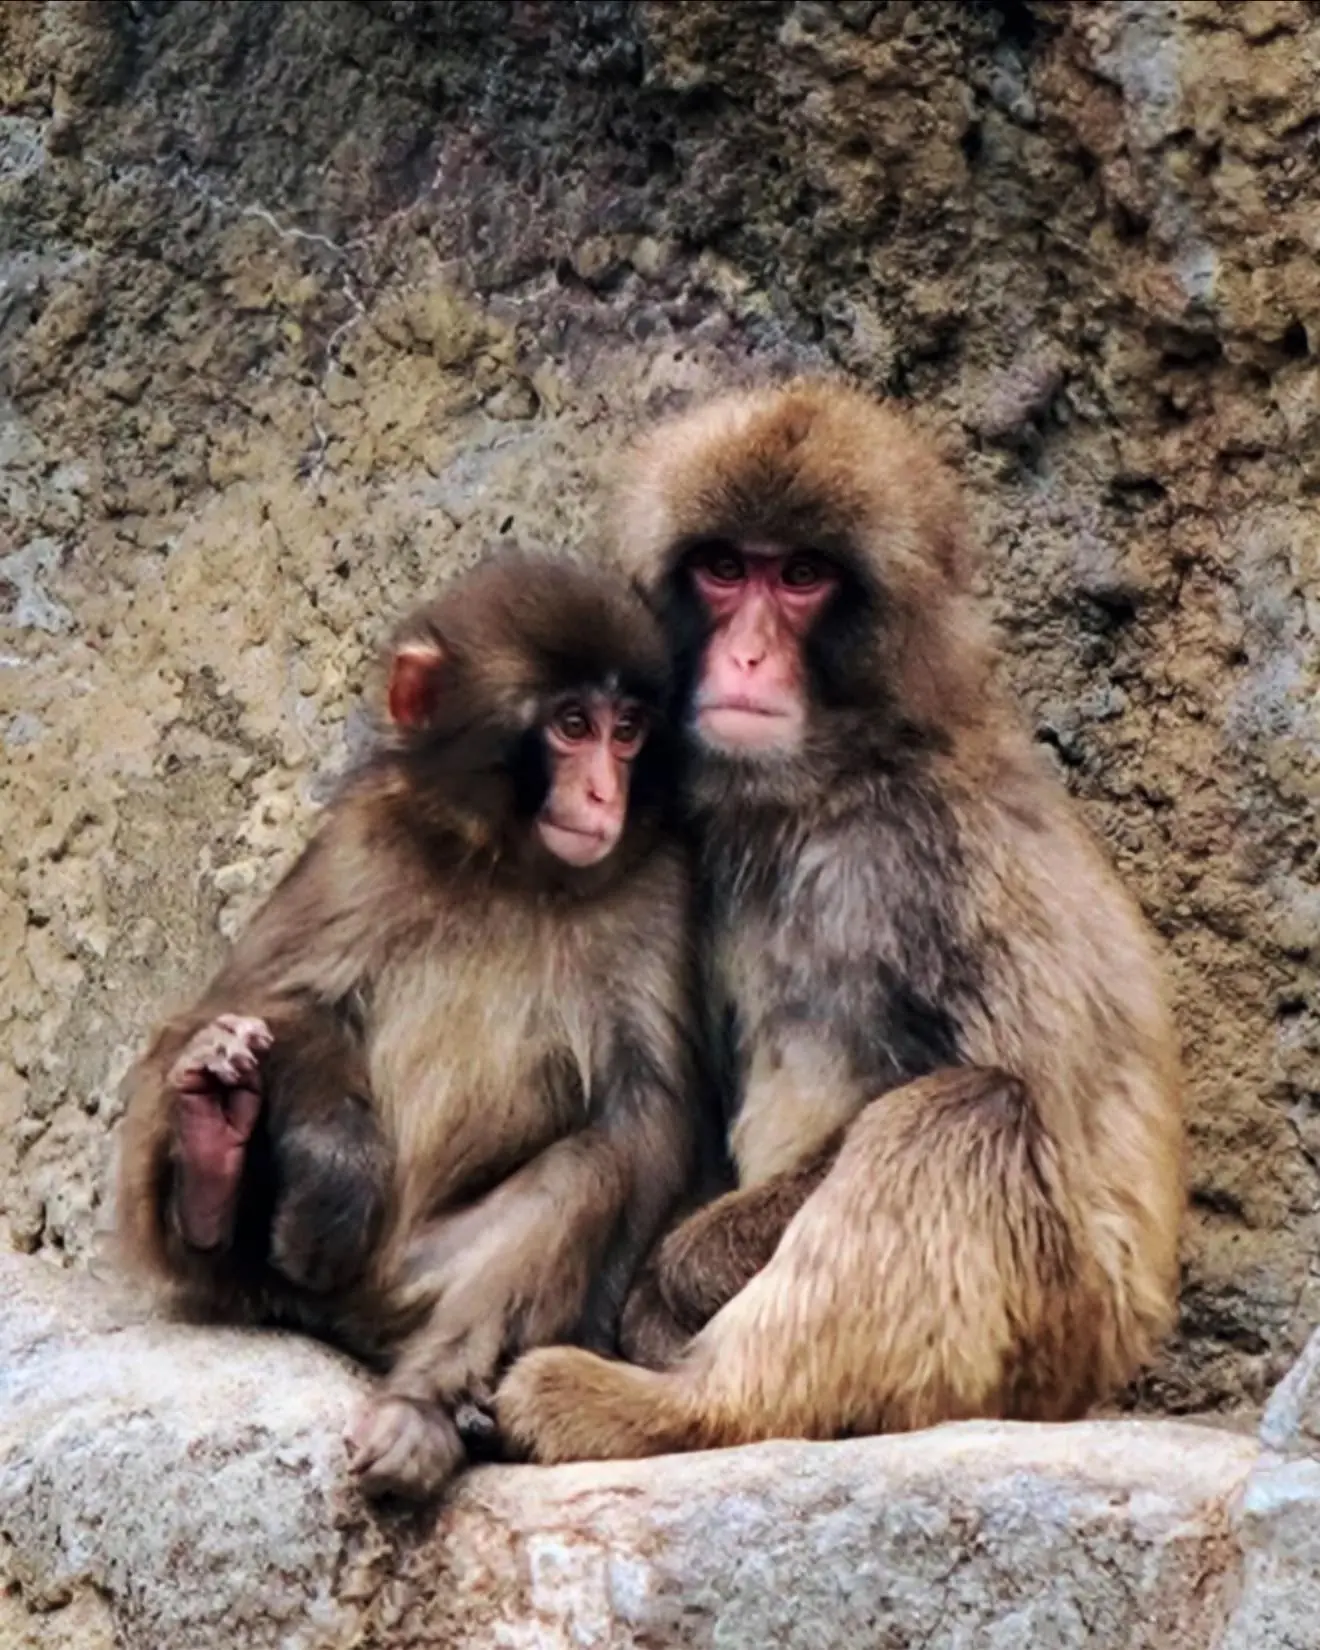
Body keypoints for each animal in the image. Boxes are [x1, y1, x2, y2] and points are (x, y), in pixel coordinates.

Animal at [115, 551, 701, 1498]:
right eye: (574, 725)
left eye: (629, 732)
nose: (605, 791)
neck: (509, 867)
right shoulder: (361, 840)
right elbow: (281, 998)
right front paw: (336, 1168)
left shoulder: (660, 886)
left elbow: (643, 1122)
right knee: (199, 1040)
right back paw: (211, 1158)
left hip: (413, 1285)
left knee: (584, 1175)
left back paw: (421, 1409)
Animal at [494, 380, 1184, 1462]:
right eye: (726, 569)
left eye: (803, 576)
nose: (745, 654)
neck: (827, 789)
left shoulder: (937, 851)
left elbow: (1030, 1087)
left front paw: (671, 1280)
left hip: (1047, 1352)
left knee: (968, 1117)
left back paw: (680, 1410)